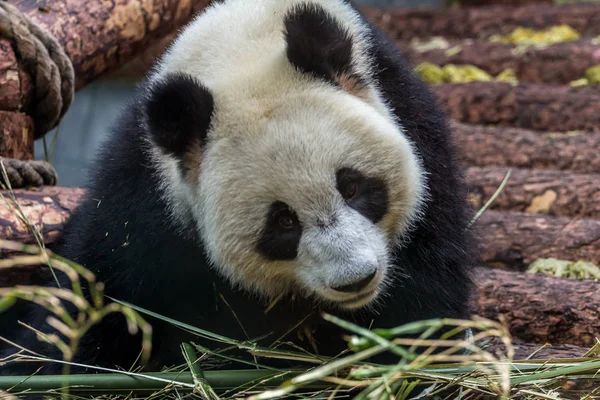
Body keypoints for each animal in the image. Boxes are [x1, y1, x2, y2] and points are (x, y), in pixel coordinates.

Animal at [1, 0, 478, 378]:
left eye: (353, 186)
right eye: (283, 222)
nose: (355, 279)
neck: (242, 52)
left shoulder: (413, 125)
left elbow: (425, 291)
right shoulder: (145, 195)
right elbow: (96, 295)